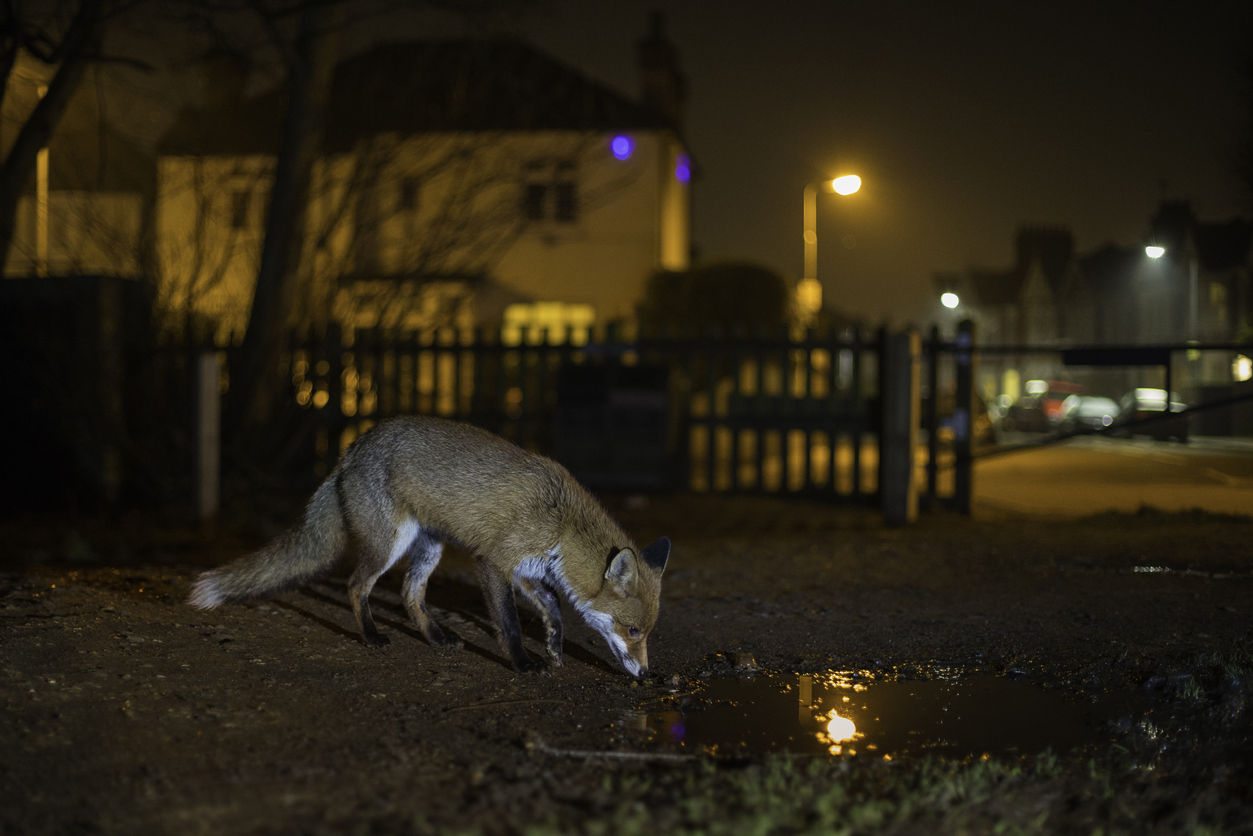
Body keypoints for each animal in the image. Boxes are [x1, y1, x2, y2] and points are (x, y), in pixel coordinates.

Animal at [186, 416, 671, 676]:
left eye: (647, 633)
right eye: (633, 631)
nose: (647, 674)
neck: (563, 524)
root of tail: (351, 449)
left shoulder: (527, 569)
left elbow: (552, 605)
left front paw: (554, 648)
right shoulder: (493, 562)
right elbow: (510, 624)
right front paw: (522, 662)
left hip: (429, 549)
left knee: (408, 593)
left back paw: (435, 637)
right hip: (389, 544)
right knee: (356, 585)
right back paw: (371, 635)